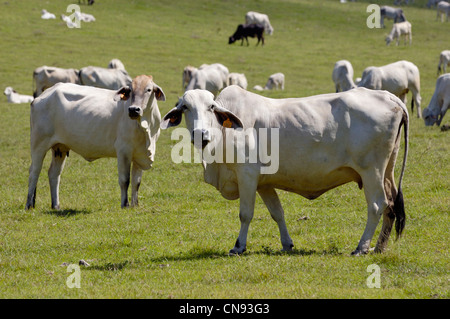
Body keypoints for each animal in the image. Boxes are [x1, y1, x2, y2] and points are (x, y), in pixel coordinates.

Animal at [25, 75, 165, 210]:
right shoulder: (123, 151)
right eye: (130, 90)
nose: (133, 110)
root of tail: (43, 95)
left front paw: (135, 205)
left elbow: (137, 181)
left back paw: (56, 206)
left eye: (149, 90)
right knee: (34, 172)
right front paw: (124, 205)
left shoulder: (139, 154)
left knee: (54, 174)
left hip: (60, 148)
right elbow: (125, 180)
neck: (146, 127)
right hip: (38, 143)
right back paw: (29, 205)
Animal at [161, 87, 408, 258]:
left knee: (377, 205)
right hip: (387, 171)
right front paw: (287, 243)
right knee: (391, 206)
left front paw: (239, 246)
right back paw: (379, 247)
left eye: (211, 107)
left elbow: (246, 214)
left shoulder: (247, 176)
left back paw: (361, 247)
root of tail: (389, 97)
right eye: (185, 107)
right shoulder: (264, 183)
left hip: (371, 171)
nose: (201, 134)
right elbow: (277, 213)